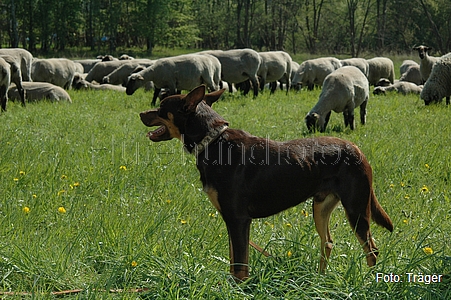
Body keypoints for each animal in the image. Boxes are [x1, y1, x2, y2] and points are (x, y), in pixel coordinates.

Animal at [139, 85, 394, 282]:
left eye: (161, 108)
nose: (141, 113)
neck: (213, 142)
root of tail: (358, 150)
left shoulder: (238, 219)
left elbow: (240, 267)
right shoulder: (231, 220)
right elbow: (234, 262)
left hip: (357, 208)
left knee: (371, 249)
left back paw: (369, 284)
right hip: (321, 207)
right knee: (328, 243)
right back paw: (319, 280)